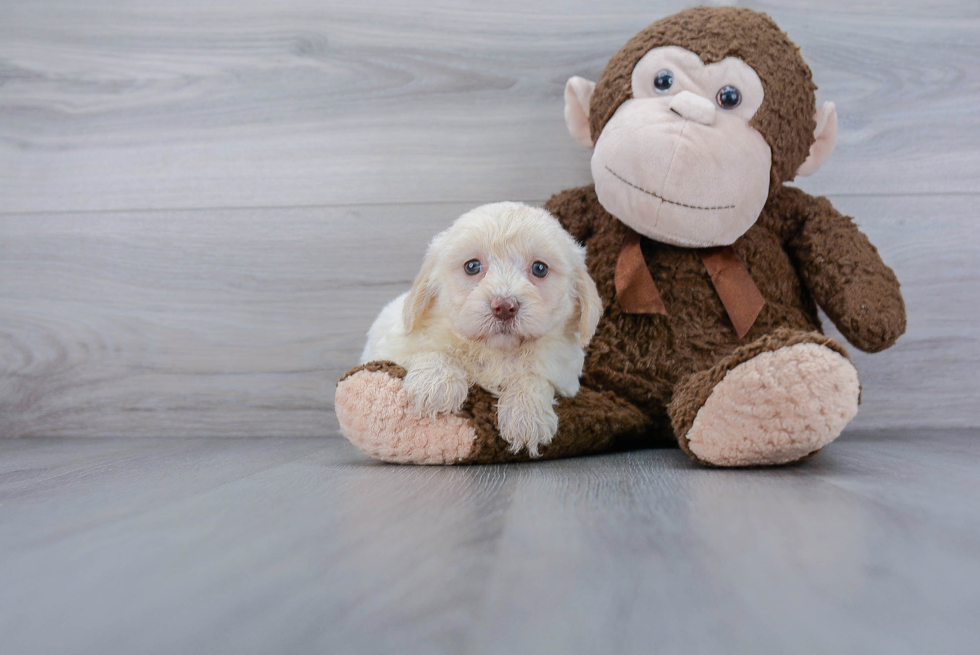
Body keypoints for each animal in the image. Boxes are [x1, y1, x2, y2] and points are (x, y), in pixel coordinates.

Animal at [362, 202, 600, 458]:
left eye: (539, 269)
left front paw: (527, 414)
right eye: (472, 266)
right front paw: (434, 384)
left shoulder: (564, 376)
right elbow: (432, 350)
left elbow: (533, 377)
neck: (494, 350)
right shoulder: (395, 347)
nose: (504, 306)